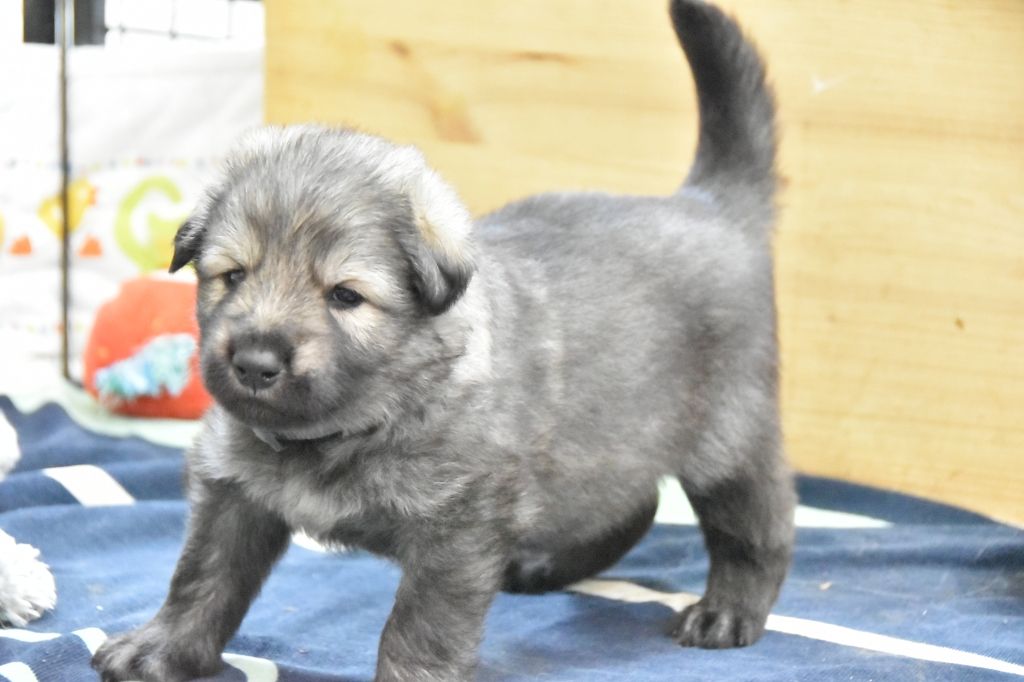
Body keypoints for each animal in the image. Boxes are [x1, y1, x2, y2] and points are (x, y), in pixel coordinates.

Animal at [93, 1, 795, 679]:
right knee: (636, 502)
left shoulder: (457, 531)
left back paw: (727, 610)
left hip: (728, 438)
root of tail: (707, 203)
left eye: (344, 296)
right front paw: (160, 648)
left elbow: (418, 629)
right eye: (233, 275)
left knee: (758, 527)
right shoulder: (232, 493)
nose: (255, 362)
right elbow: (200, 578)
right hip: (608, 449)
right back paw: (541, 567)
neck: (343, 429)